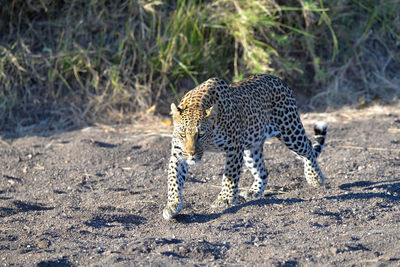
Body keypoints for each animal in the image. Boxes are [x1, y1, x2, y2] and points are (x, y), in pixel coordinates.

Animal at [162, 74, 328, 221]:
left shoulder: (234, 148)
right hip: (252, 148)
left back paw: (315, 178)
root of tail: (280, 80)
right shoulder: (178, 154)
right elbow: (173, 180)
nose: (191, 153)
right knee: (263, 171)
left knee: (308, 149)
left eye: (200, 134)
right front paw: (172, 205)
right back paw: (254, 192)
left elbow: (230, 176)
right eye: (183, 134)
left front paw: (225, 199)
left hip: (290, 131)